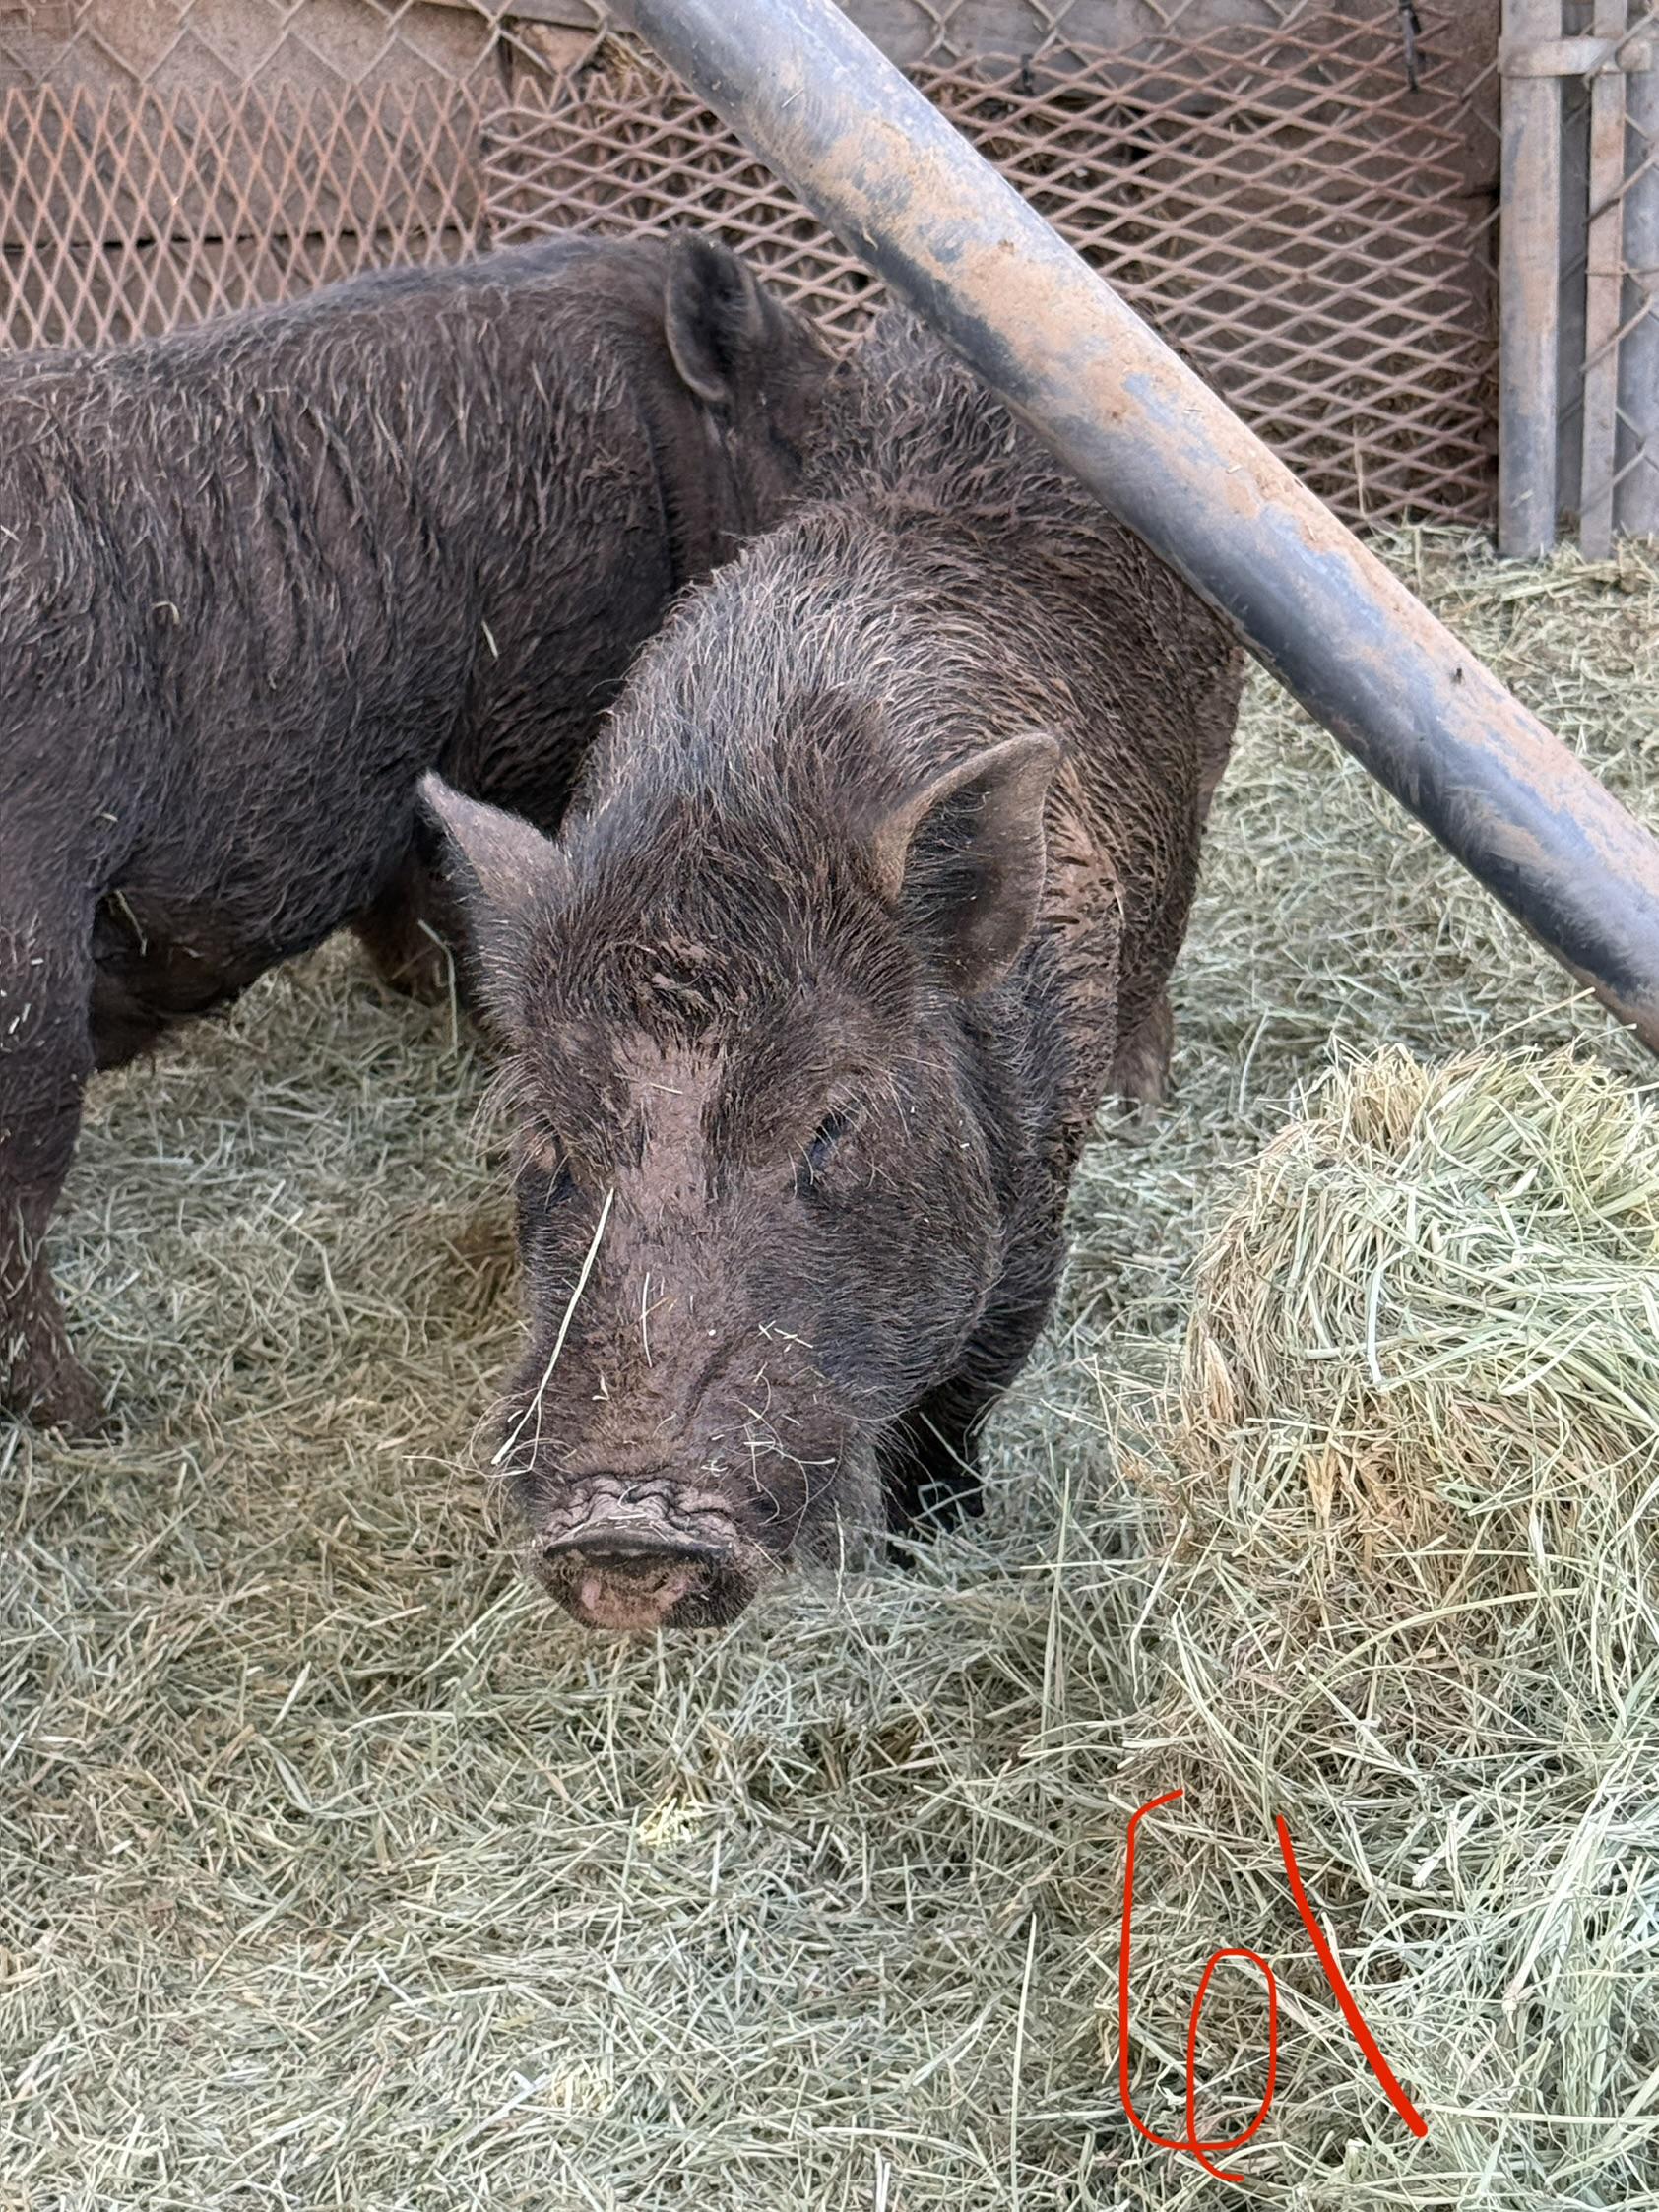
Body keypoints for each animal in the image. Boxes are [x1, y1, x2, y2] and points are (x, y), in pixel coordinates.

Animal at [1, 230, 830, 1428]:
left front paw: (418, 992)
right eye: (814, 430)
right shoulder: (531, 719)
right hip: (28, 970)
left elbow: (408, 886)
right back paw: (93, 1412)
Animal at [426, 312, 1245, 1633]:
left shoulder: (1033, 1216)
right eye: (547, 1136)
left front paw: (930, 1542)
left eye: (831, 1123)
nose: (625, 1527)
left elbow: (964, 1391)